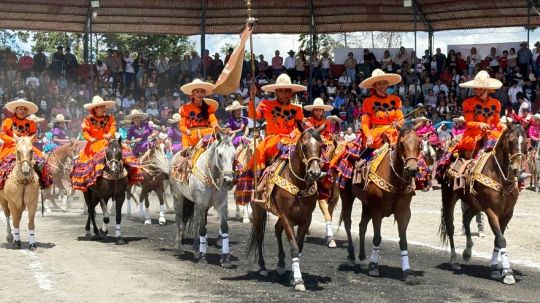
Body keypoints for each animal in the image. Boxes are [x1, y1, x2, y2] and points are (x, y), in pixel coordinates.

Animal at [170, 132, 235, 270]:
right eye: (220, 154)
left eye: (234, 155)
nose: (228, 180)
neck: (212, 177)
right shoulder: (201, 203)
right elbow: (202, 229)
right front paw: (203, 258)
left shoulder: (221, 205)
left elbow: (224, 228)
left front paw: (225, 259)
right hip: (178, 197)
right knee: (179, 220)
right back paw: (178, 248)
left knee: (195, 224)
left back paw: (196, 249)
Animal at [247, 122, 322, 294]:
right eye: (304, 146)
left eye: (321, 146)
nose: (314, 172)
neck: (298, 185)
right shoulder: (287, 216)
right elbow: (293, 247)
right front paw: (299, 280)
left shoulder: (306, 219)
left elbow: (299, 247)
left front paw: (292, 276)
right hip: (258, 210)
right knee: (260, 236)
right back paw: (263, 267)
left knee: (276, 229)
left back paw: (281, 265)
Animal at [340, 126, 420, 284]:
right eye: (402, 144)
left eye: (419, 144)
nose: (412, 169)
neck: (394, 179)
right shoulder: (377, 210)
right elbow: (377, 238)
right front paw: (373, 267)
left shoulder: (404, 212)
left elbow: (403, 241)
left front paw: (407, 272)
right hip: (347, 196)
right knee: (347, 222)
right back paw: (352, 255)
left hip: (366, 204)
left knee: (362, 226)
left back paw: (363, 258)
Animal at [438, 123, 528, 284]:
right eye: (511, 141)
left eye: (525, 143)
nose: (517, 169)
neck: (501, 179)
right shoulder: (491, 211)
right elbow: (501, 240)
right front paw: (507, 272)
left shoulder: (507, 213)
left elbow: (497, 240)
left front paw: (495, 268)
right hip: (449, 198)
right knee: (450, 226)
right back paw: (454, 261)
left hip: (475, 204)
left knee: (466, 218)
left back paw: (467, 252)